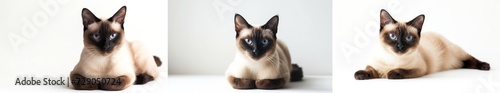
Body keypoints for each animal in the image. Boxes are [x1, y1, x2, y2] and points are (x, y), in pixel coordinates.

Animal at [354, 9, 490, 79]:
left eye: (408, 38)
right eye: (392, 36)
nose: (400, 46)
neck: (392, 59)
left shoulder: (419, 69)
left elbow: (401, 70)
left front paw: (390, 73)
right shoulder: (374, 65)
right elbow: (369, 69)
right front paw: (360, 75)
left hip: (458, 53)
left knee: (470, 59)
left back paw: (485, 66)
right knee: (465, 63)